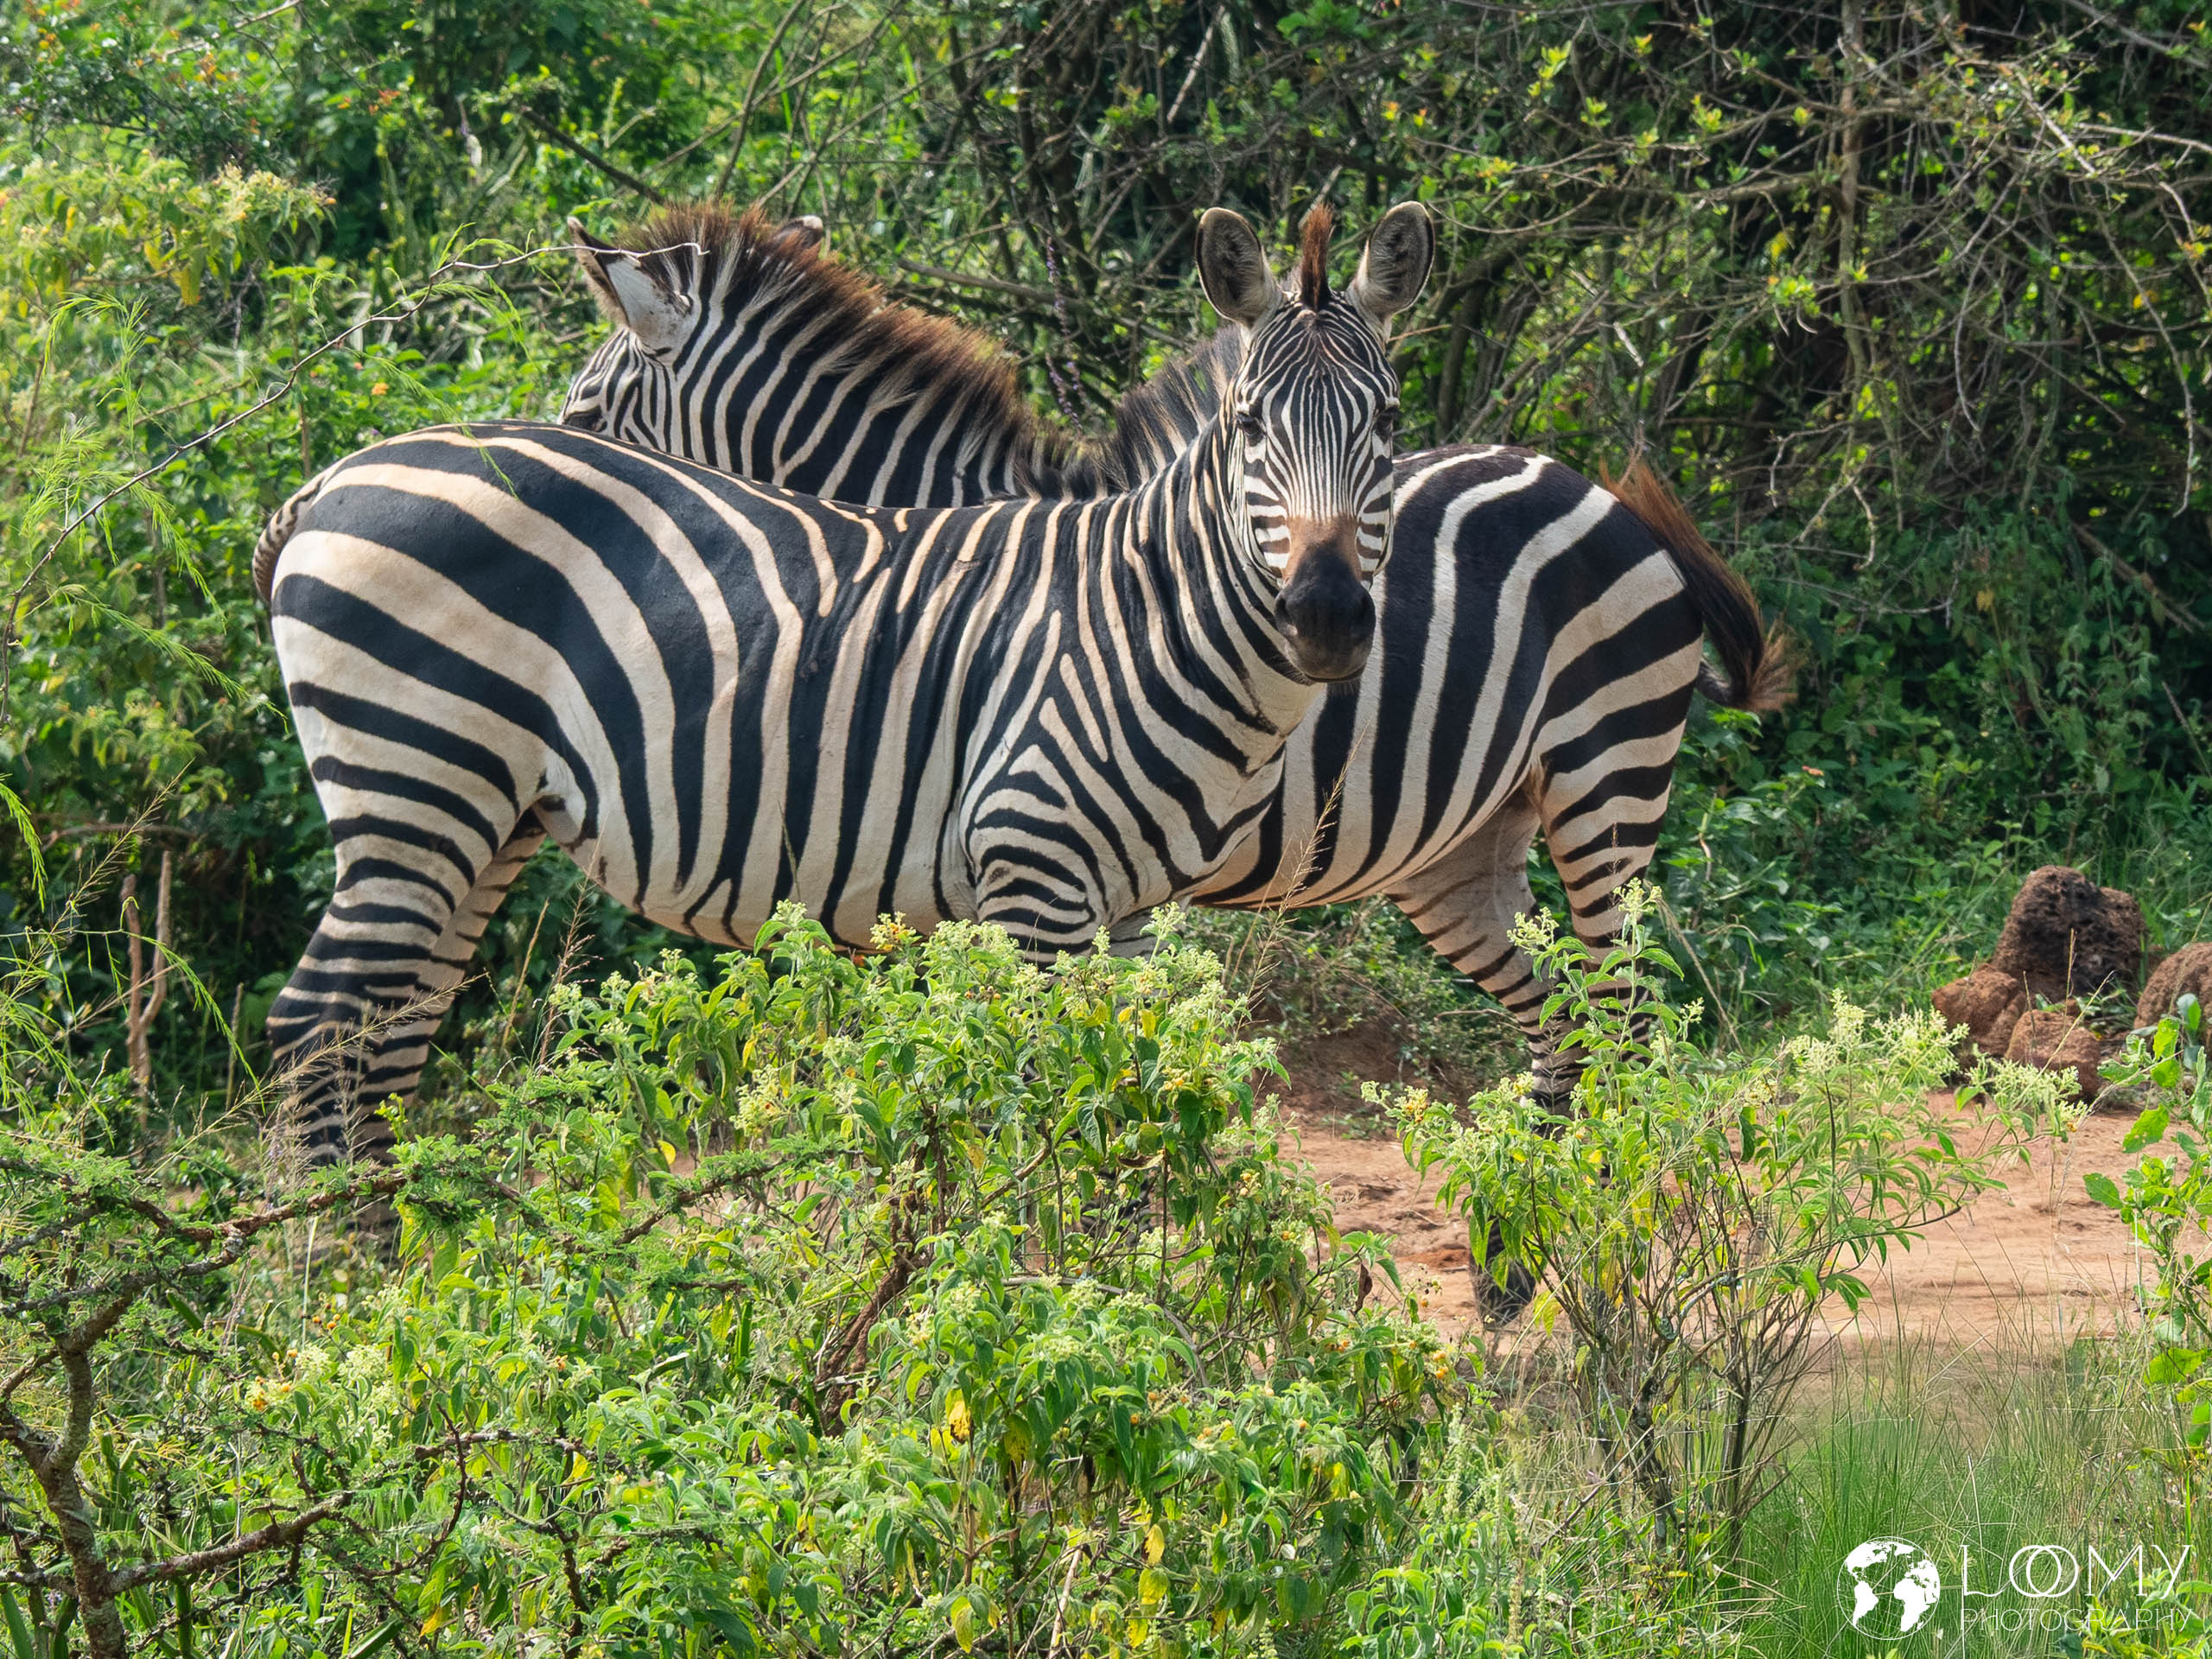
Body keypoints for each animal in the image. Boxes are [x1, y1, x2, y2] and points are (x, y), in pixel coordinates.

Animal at [254, 202, 1435, 1165]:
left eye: (1385, 424)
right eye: (1250, 426)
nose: (1327, 618)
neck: (1137, 605)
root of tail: (329, 478)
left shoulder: (1121, 907)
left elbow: (1112, 1106)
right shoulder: (1026, 872)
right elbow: (1009, 1103)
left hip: (478, 816)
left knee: (388, 1026)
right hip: (419, 778)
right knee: (322, 1023)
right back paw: (337, 1282)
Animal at [554, 205, 1791, 1111]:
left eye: (582, 414)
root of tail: (1590, 486)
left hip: (1604, 788)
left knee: (1629, 1029)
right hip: (1462, 846)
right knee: (1564, 1033)